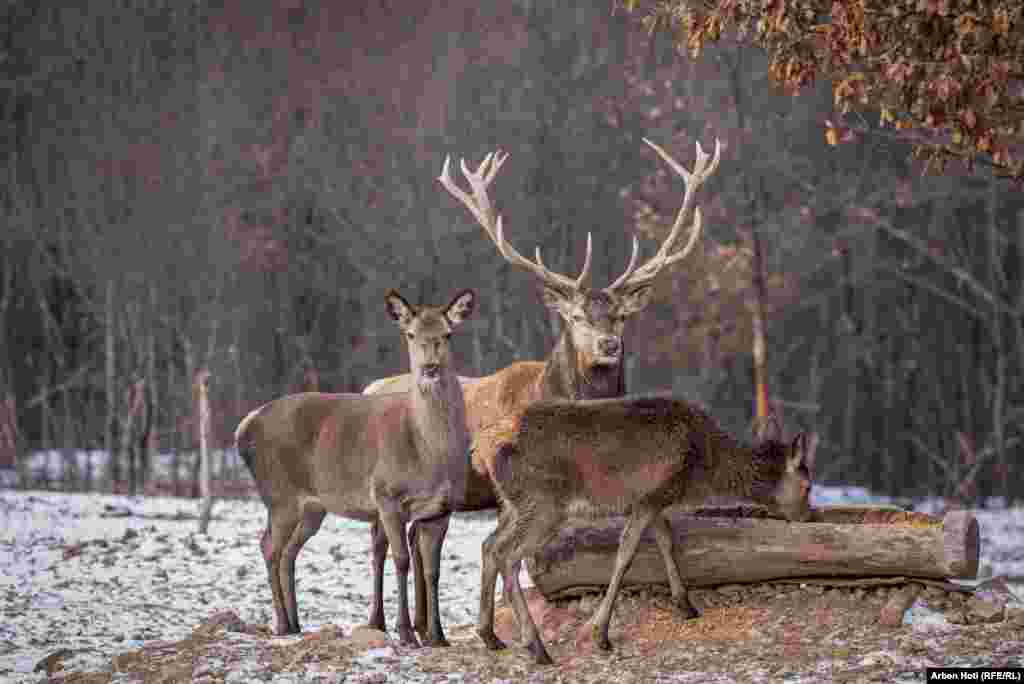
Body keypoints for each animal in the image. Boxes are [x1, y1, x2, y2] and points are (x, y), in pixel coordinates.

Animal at [237, 286, 477, 647]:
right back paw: (281, 623)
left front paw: (438, 636)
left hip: (313, 507)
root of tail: (244, 427)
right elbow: (402, 560)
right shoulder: (387, 495)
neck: (428, 451)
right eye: (410, 334)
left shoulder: (442, 508)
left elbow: (433, 571)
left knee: (288, 551)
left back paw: (295, 623)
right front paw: (406, 632)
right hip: (279, 495)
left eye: (448, 334)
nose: (431, 368)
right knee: (268, 547)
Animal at [364, 136, 724, 643]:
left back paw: (425, 627)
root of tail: (369, 385)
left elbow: (660, 530)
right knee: (383, 540)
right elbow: (508, 556)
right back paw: (384, 623)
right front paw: (504, 630)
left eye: (621, 316)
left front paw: (685, 602)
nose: (609, 345)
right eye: (574, 317)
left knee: (416, 540)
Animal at [479, 395, 815, 663]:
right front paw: (601, 633)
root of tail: (483, 448)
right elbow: (626, 554)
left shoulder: (653, 500)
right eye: (808, 486)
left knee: (488, 545)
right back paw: (536, 647)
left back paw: (490, 636)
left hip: (512, 504)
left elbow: (666, 540)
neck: (702, 469)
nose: (809, 515)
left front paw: (685, 604)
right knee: (507, 554)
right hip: (544, 504)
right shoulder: (650, 497)